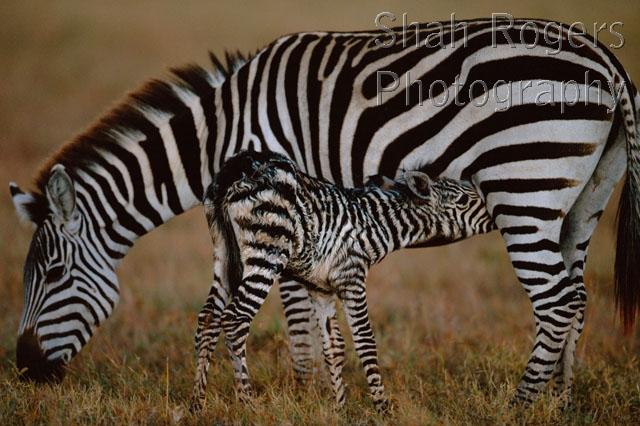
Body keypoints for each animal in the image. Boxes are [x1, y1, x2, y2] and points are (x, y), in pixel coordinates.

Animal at [190, 150, 494, 412]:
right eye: (465, 201)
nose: (496, 217)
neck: (374, 223)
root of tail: (239, 165)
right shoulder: (352, 278)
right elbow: (365, 342)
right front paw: (382, 408)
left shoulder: (320, 289)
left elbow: (334, 347)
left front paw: (341, 409)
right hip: (267, 251)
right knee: (235, 319)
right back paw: (248, 403)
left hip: (224, 253)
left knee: (208, 318)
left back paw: (197, 405)